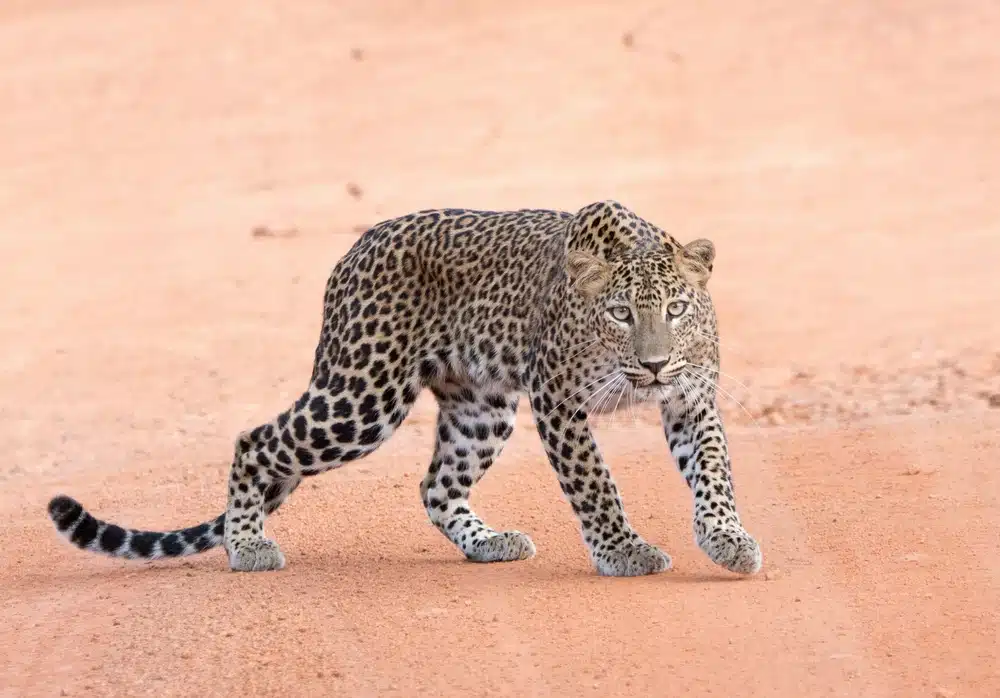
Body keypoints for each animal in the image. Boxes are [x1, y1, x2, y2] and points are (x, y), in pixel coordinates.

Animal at [47, 200, 762, 577]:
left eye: (675, 309)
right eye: (619, 314)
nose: (653, 365)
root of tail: (354, 248)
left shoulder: (691, 399)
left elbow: (714, 473)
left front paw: (727, 540)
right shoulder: (559, 400)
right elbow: (595, 484)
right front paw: (624, 551)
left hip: (481, 409)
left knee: (436, 486)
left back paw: (488, 543)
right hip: (360, 397)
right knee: (256, 441)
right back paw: (248, 544)